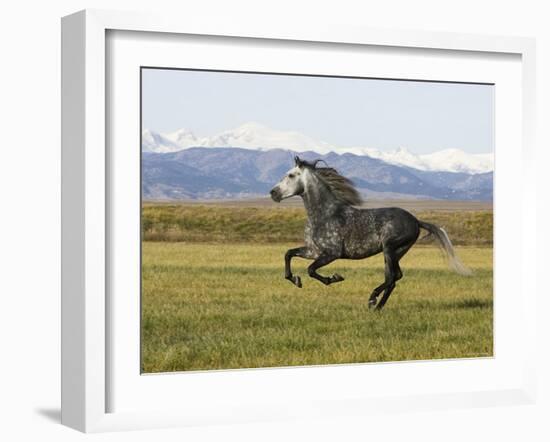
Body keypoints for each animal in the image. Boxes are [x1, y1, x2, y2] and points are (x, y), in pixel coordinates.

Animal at [270, 157, 472, 310]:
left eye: (290, 175)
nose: (273, 193)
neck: (326, 214)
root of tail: (415, 221)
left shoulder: (332, 253)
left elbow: (311, 270)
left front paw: (334, 278)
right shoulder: (314, 250)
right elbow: (288, 254)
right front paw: (295, 280)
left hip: (390, 248)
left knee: (392, 278)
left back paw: (373, 300)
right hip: (395, 252)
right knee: (394, 277)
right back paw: (377, 306)